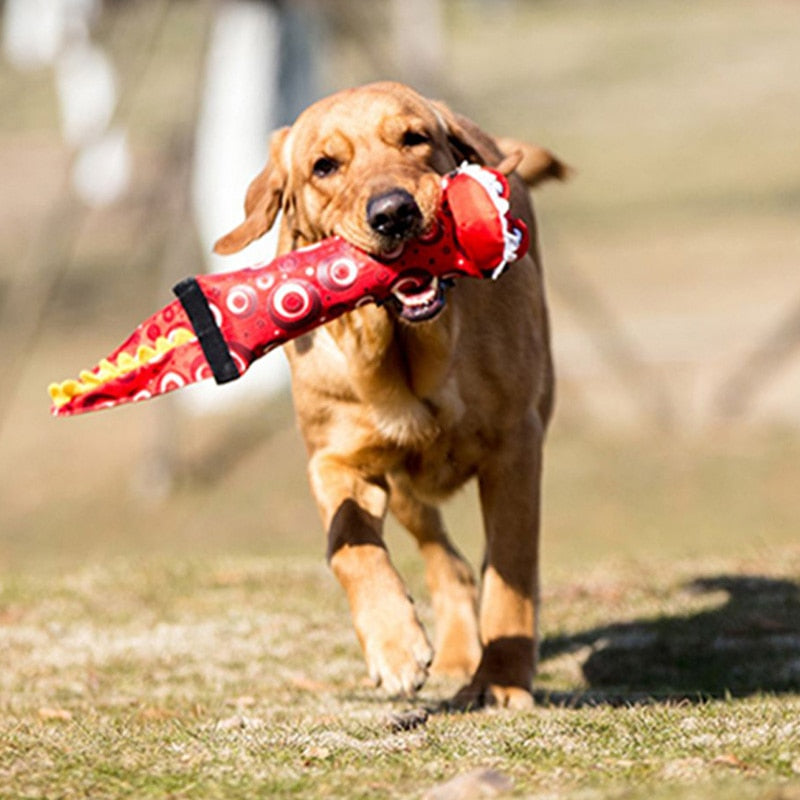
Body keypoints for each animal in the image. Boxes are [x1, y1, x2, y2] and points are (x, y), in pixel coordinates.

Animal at [212, 81, 564, 708]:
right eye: (324, 166)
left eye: (414, 139)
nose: (394, 212)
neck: (405, 351)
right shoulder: (335, 460)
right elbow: (349, 544)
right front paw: (395, 647)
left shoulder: (516, 447)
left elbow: (511, 572)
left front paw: (501, 678)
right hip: (405, 487)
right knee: (447, 563)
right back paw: (452, 652)